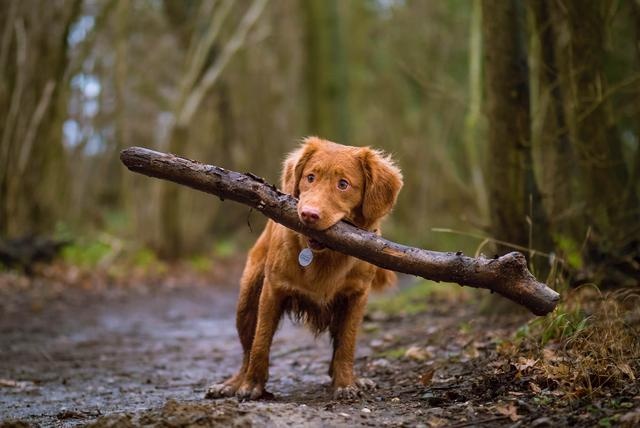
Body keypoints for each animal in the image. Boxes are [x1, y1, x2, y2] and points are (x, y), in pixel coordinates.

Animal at [208, 138, 402, 402]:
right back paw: (233, 383)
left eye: (343, 184)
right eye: (310, 177)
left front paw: (345, 384)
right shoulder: (272, 290)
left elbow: (346, 344)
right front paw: (252, 385)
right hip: (247, 299)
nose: (309, 214)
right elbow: (260, 342)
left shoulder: (356, 296)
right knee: (247, 348)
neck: (324, 256)